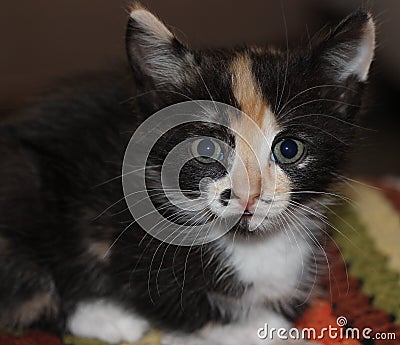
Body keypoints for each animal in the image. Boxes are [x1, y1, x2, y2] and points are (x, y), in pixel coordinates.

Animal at [0, 3, 376, 344]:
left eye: (288, 149)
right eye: (206, 148)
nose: (248, 195)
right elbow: (180, 304)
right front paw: (266, 328)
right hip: (22, 179)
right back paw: (108, 319)